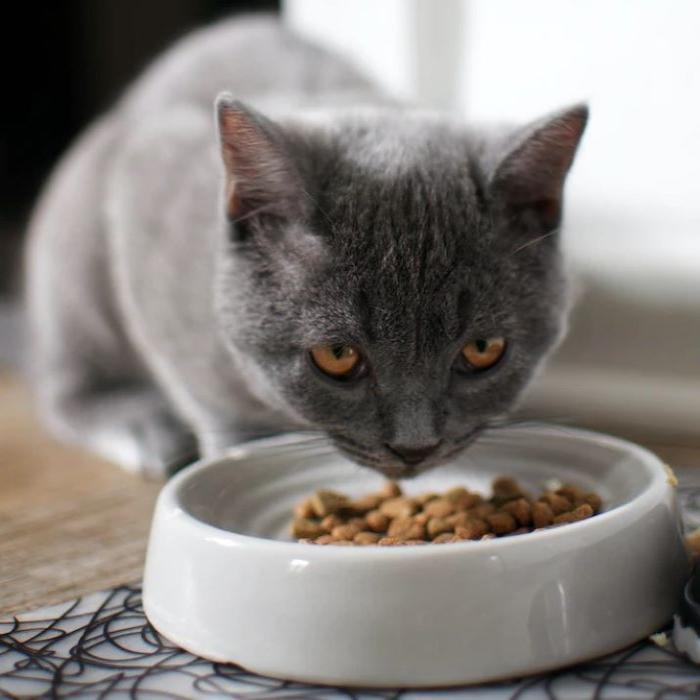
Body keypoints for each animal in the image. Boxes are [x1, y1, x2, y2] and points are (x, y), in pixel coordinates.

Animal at [24, 13, 588, 478]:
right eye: (336, 356)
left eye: (483, 350)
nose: (415, 447)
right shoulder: (146, 198)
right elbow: (207, 394)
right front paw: (236, 449)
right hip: (76, 242)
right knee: (65, 386)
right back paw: (142, 428)